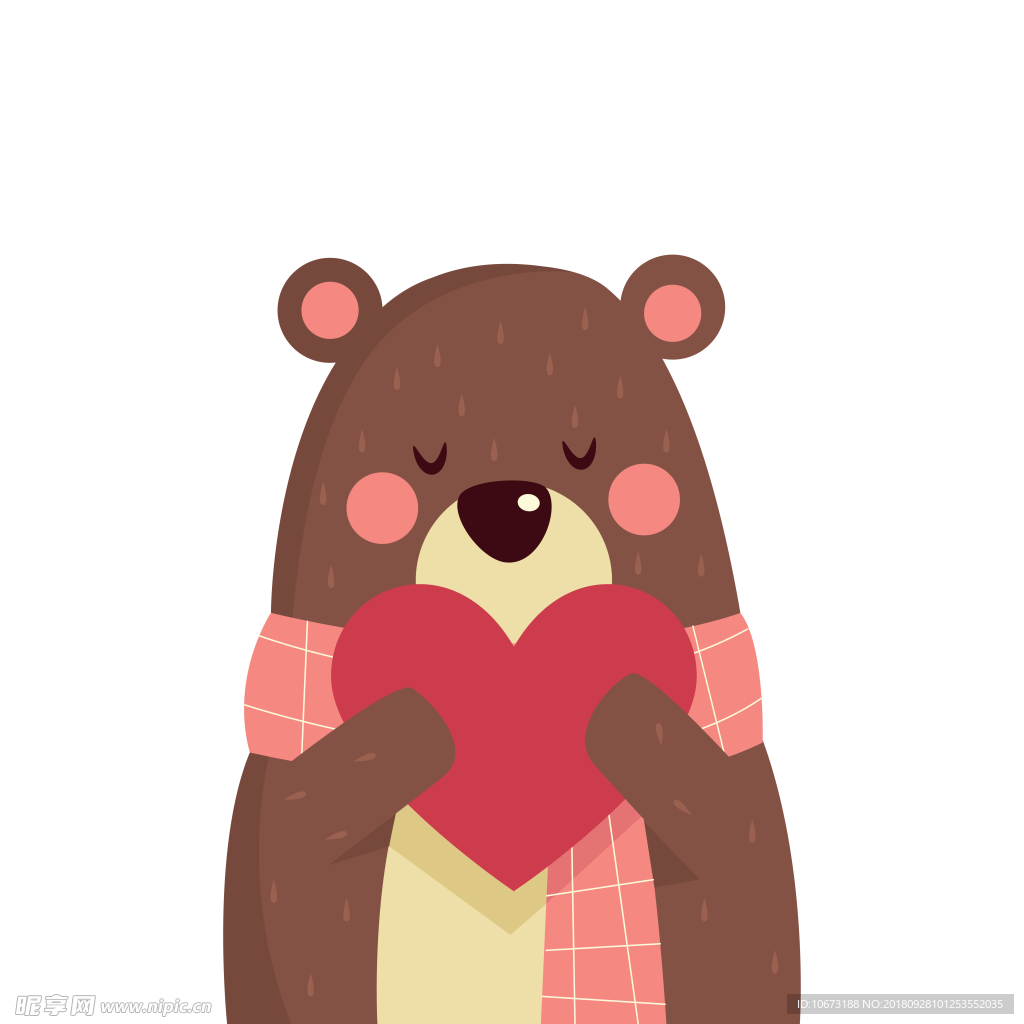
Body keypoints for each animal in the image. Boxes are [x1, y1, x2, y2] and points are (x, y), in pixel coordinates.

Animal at [224, 257, 800, 1022]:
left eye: (585, 453)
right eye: (424, 459)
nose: (508, 509)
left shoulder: (726, 761)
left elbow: (713, 812)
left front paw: (610, 700)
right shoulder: (292, 775)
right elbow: (316, 806)